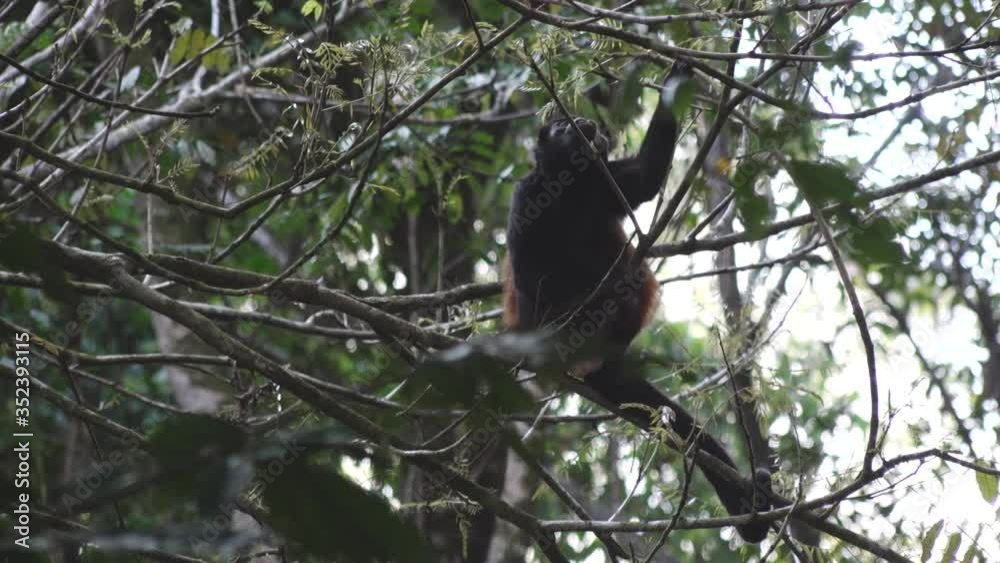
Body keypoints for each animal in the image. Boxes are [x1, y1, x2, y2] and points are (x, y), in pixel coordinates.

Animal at [502, 63, 772, 543]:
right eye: (562, 126)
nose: (585, 123)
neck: (569, 187)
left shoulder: (602, 181)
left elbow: (645, 178)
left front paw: (678, 73)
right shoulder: (527, 193)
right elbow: (529, 268)